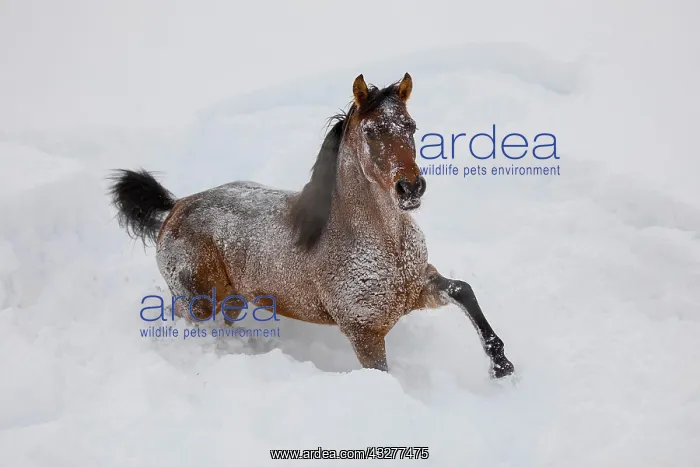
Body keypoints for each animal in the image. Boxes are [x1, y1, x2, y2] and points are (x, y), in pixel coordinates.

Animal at [108, 73, 515, 378]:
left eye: (412, 126)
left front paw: (502, 366)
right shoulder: (364, 332)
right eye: (371, 131)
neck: (386, 245)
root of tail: (177, 206)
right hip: (197, 303)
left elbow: (463, 290)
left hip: (234, 299)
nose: (411, 188)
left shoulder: (420, 287)